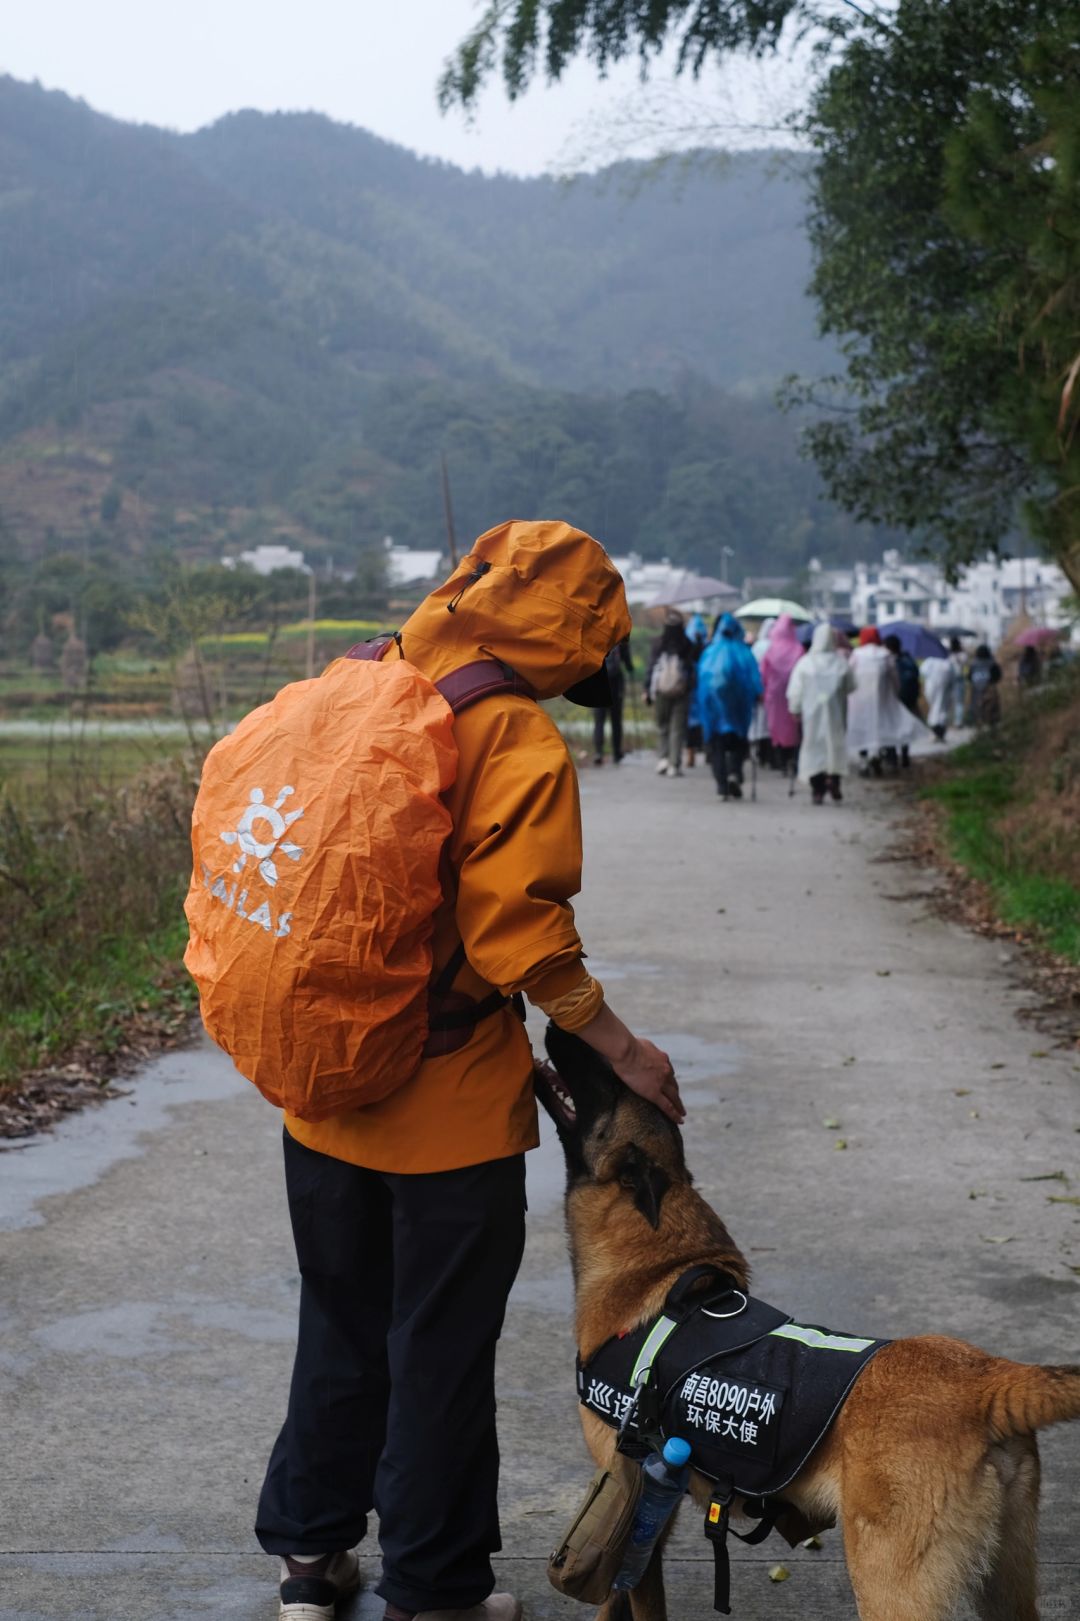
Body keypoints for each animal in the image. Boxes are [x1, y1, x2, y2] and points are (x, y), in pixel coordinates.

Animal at [535, 1024, 1076, 1621]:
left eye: (610, 1080)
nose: (556, 1028)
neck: (661, 1268)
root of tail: (987, 1382)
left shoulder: (637, 1512)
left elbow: (628, 1600)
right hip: (1003, 1585)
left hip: (890, 1588)